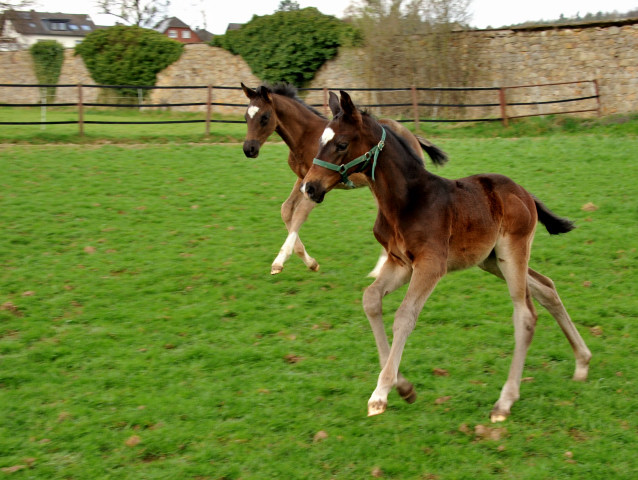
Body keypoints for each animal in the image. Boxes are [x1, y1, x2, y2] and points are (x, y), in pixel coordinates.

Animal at [302, 90, 592, 420]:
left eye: (341, 144)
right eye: (320, 141)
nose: (309, 187)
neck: (406, 201)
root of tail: (524, 193)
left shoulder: (430, 265)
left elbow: (405, 316)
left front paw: (381, 394)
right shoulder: (400, 263)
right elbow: (371, 300)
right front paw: (404, 387)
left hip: (512, 251)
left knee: (526, 314)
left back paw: (504, 402)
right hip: (491, 261)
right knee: (547, 287)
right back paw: (582, 362)